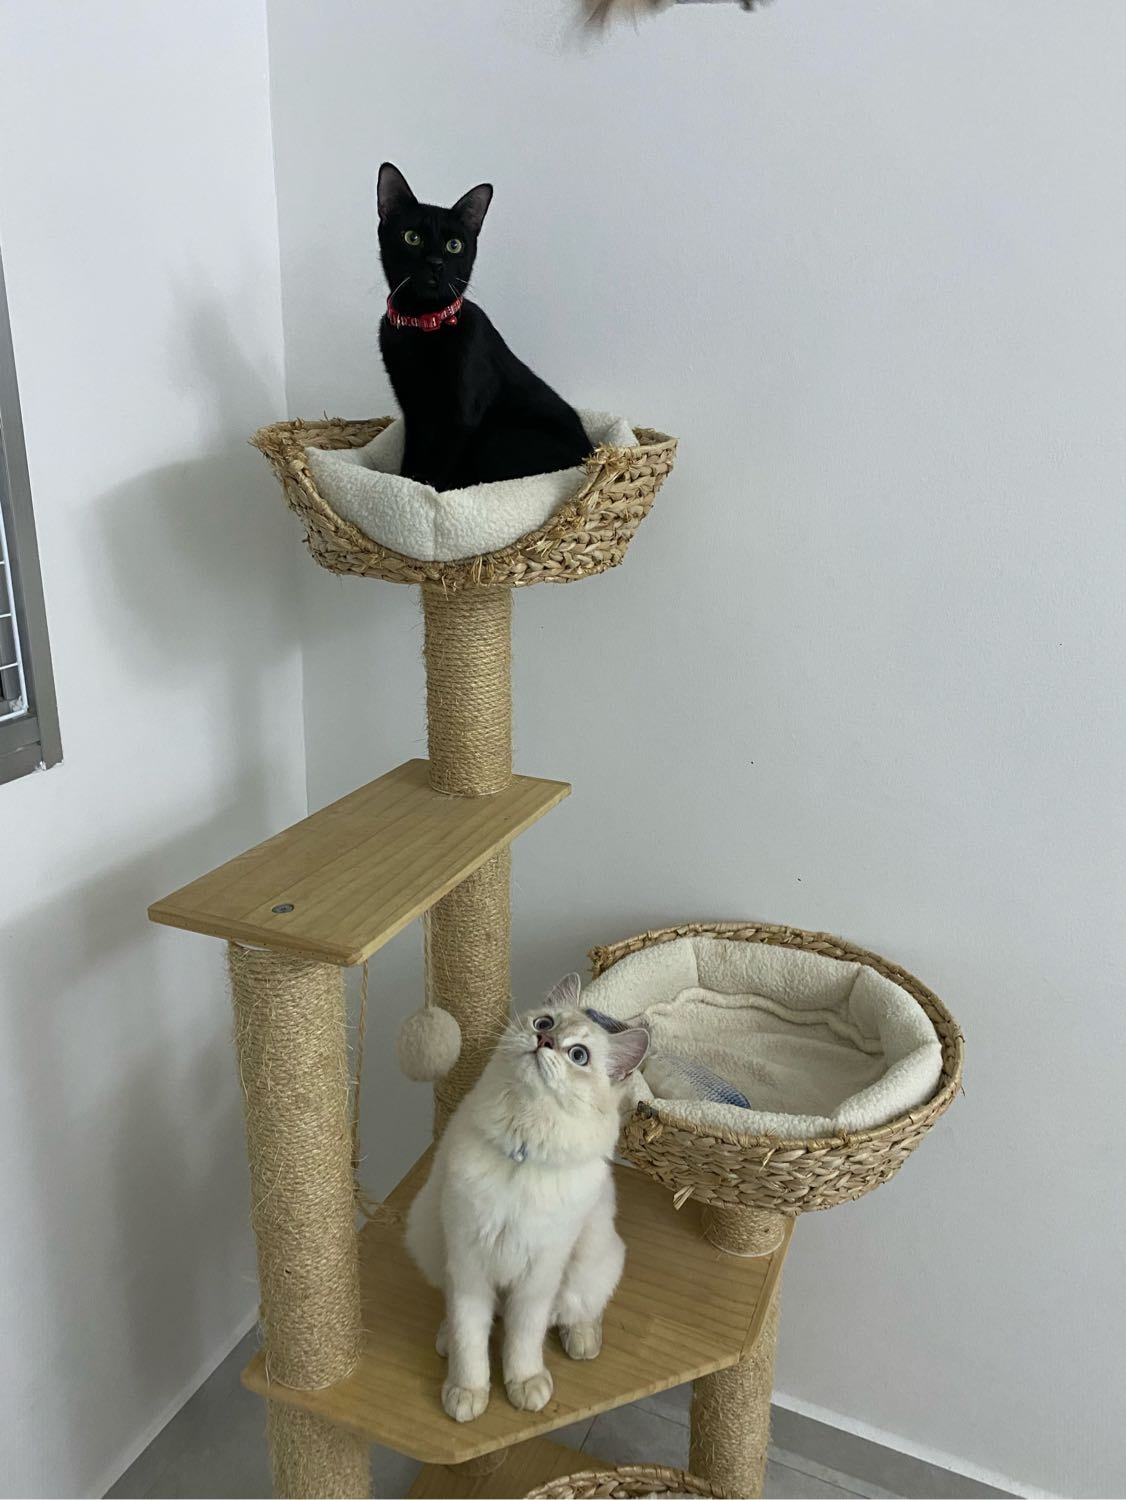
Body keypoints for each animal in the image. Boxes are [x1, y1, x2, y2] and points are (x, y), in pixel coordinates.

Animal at [376, 162, 592, 492]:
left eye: (454, 245)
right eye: (412, 237)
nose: (436, 262)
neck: (423, 324)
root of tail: (593, 454)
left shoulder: (460, 417)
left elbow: (440, 469)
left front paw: (429, 493)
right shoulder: (413, 411)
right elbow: (412, 458)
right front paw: (405, 484)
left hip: (495, 438)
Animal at [404, 973, 650, 1423]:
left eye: (579, 1055)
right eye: (544, 1023)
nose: (545, 1042)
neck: (523, 1150)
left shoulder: (539, 1274)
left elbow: (523, 1338)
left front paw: (524, 1385)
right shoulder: (468, 1263)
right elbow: (470, 1338)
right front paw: (467, 1393)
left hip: (592, 1259)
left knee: (576, 1311)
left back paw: (583, 1341)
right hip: (428, 1236)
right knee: (466, 1317)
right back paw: (445, 1339)